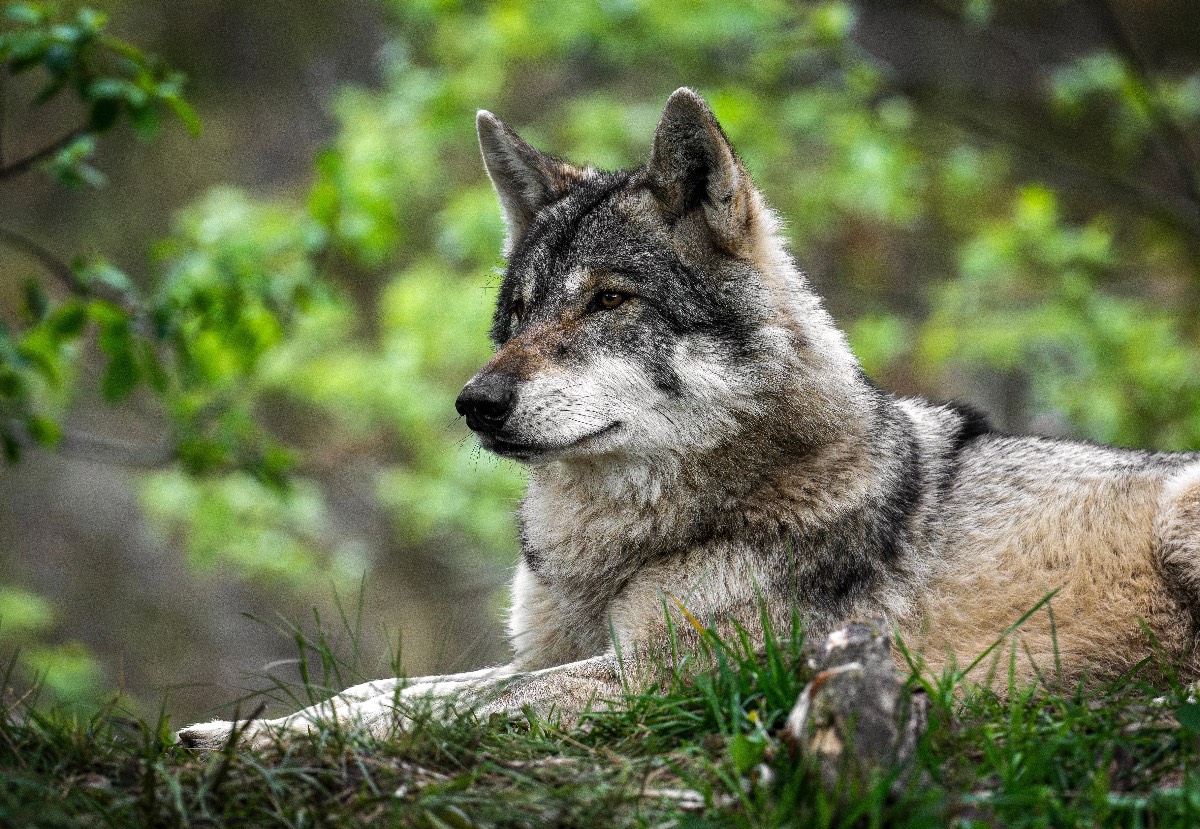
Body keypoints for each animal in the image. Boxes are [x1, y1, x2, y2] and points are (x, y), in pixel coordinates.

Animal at [178, 88, 1200, 751]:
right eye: (519, 313)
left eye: (608, 300)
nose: (475, 403)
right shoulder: (566, 652)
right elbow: (388, 683)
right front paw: (235, 726)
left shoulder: (665, 679)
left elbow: (429, 708)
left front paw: (268, 743)